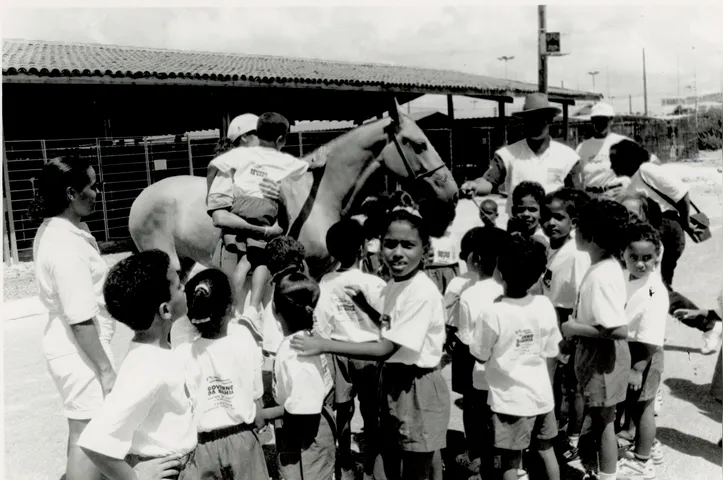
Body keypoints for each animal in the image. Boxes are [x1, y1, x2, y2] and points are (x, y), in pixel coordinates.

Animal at [129, 101, 458, 282]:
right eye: (419, 144)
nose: (453, 192)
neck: (318, 196)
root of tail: (141, 197)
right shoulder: (306, 270)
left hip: (185, 262)